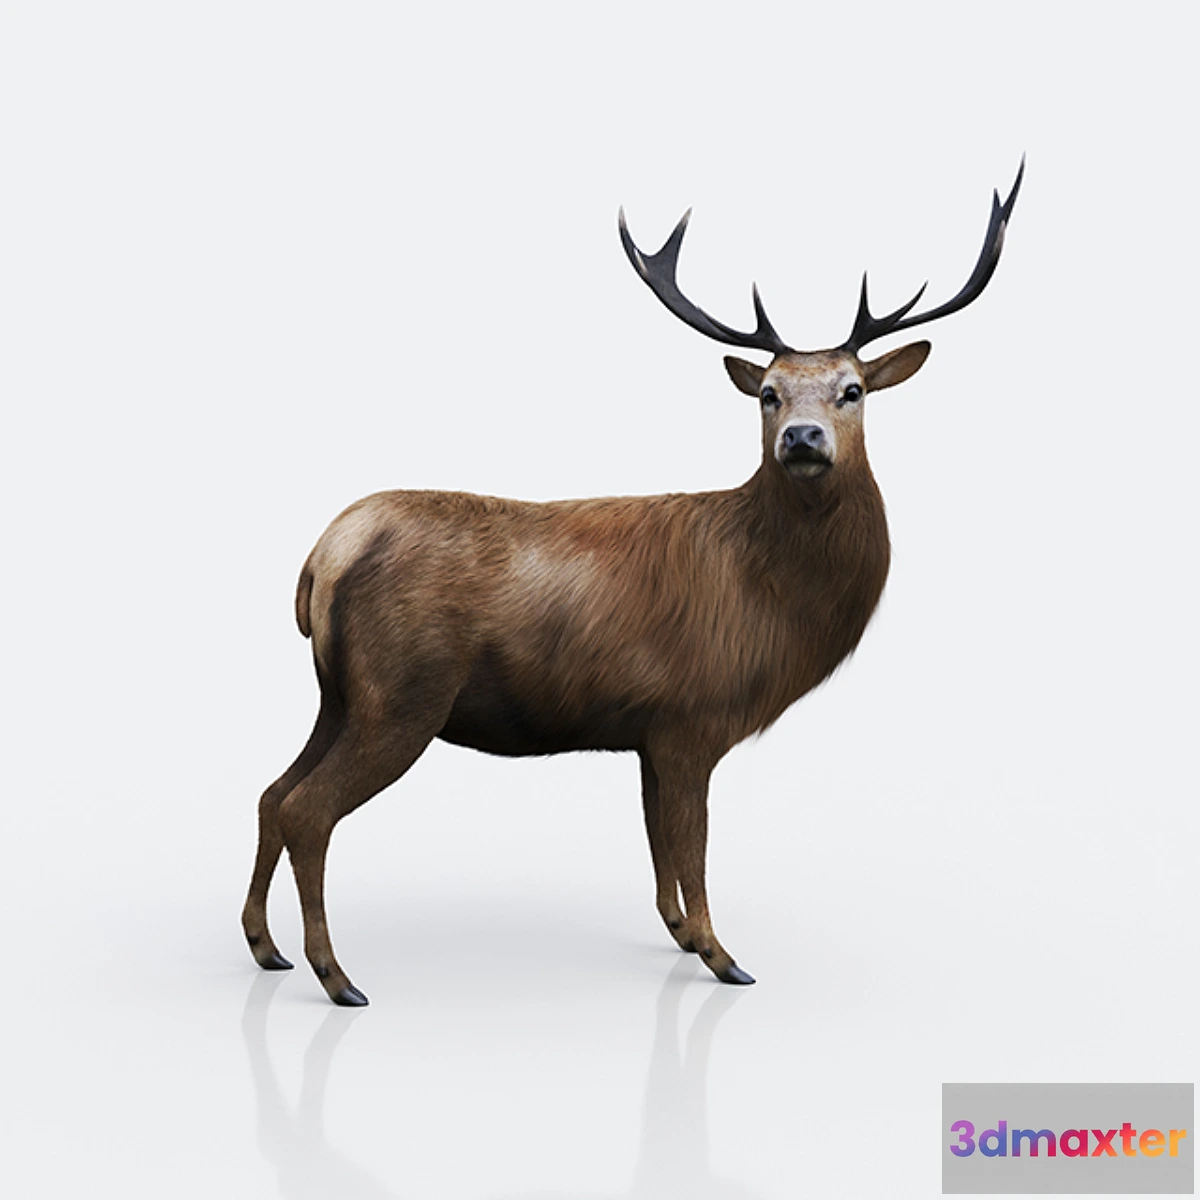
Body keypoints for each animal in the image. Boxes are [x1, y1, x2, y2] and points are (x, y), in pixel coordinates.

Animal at [242, 164, 1023, 1006]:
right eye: (768, 393)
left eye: (854, 390)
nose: (803, 439)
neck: (770, 600)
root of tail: (323, 558)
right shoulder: (694, 715)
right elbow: (693, 848)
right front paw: (722, 955)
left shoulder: (649, 731)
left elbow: (659, 852)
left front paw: (680, 935)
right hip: (403, 692)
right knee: (309, 810)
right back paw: (336, 976)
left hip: (339, 693)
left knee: (272, 793)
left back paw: (265, 948)